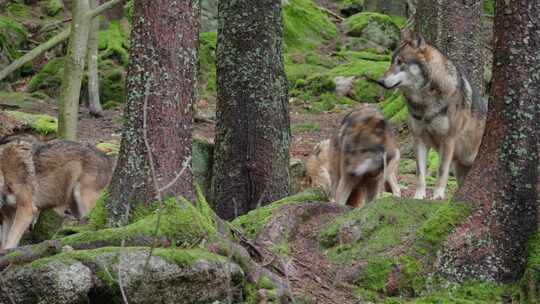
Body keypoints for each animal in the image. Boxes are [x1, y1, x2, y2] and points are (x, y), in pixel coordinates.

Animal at [378, 28, 488, 200]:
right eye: (391, 62)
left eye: (401, 62)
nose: (379, 81)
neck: (424, 102)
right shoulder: (419, 140)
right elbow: (420, 174)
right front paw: (418, 196)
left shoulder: (448, 141)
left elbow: (441, 171)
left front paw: (437, 197)